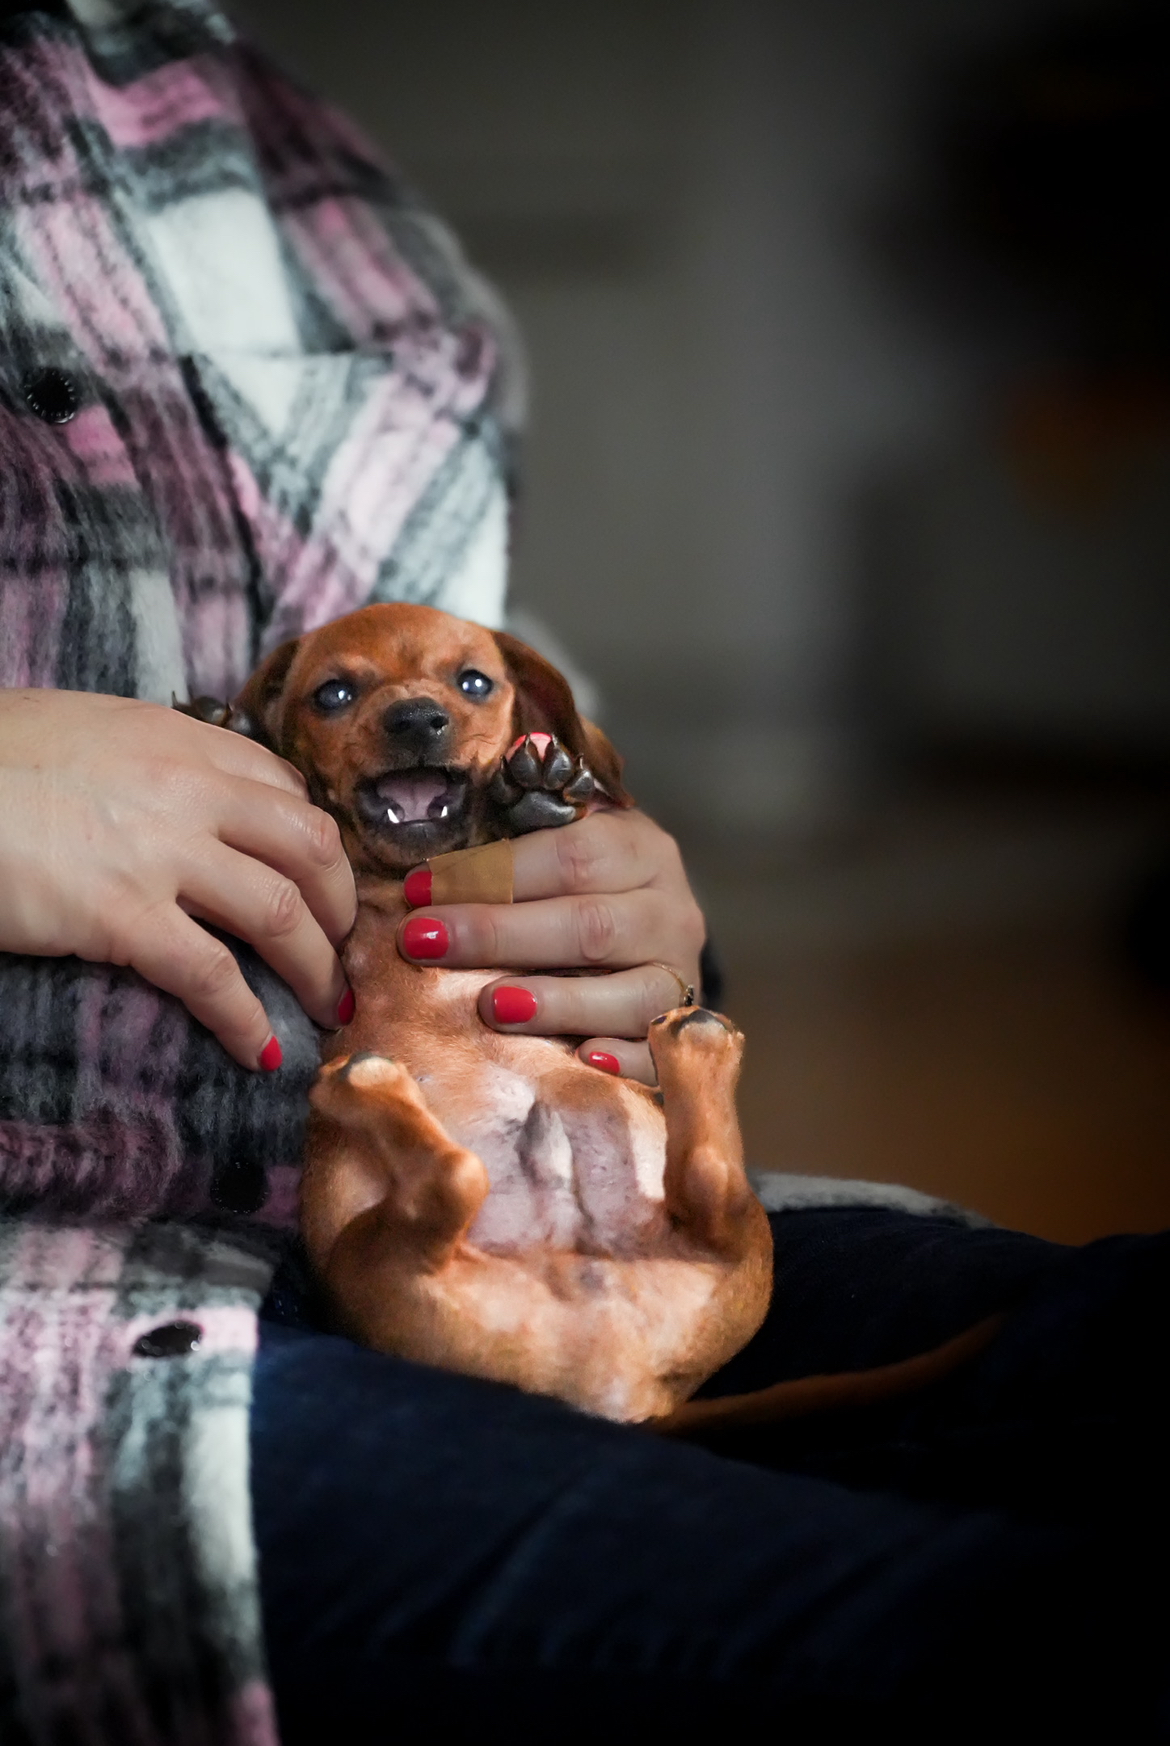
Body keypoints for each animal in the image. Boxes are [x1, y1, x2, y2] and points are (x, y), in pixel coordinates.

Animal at [229, 601, 774, 1424]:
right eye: (333, 694)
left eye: (474, 682)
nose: (417, 719)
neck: (412, 880)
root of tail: (613, 1377)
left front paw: (535, 800)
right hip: (374, 1262)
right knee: (460, 1180)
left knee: (707, 1186)